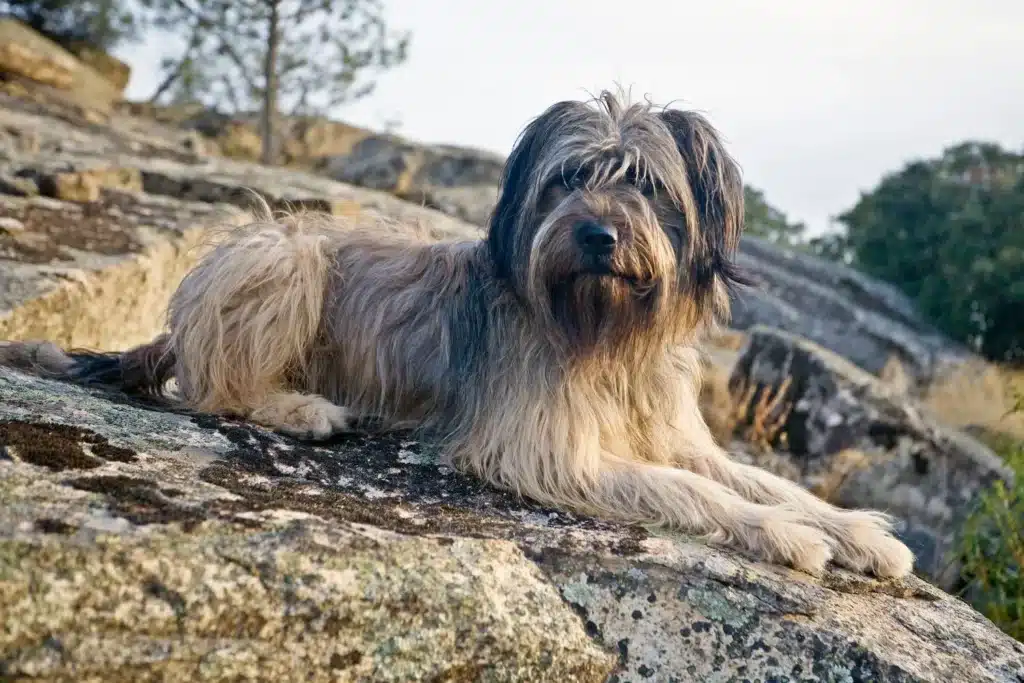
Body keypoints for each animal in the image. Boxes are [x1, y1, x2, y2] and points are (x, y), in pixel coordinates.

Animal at [0, 90, 913, 581]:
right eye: (570, 177)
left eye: (647, 184)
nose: (598, 236)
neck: (605, 332)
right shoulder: (546, 449)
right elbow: (699, 493)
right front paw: (788, 534)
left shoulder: (673, 433)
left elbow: (758, 478)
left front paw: (858, 531)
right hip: (285, 254)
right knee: (213, 385)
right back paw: (303, 408)